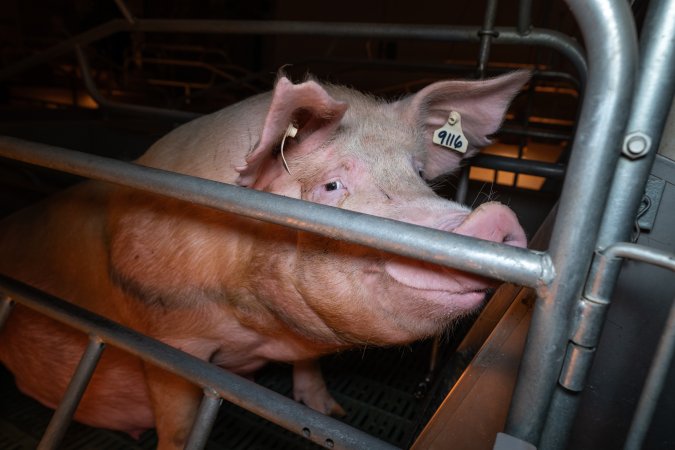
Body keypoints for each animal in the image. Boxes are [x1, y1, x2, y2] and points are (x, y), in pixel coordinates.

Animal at [0, 70, 528, 446]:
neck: (258, 324)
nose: (494, 219)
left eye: (418, 173)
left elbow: (310, 367)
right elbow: (177, 421)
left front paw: (327, 413)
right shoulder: (168, 336)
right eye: (331, 186)